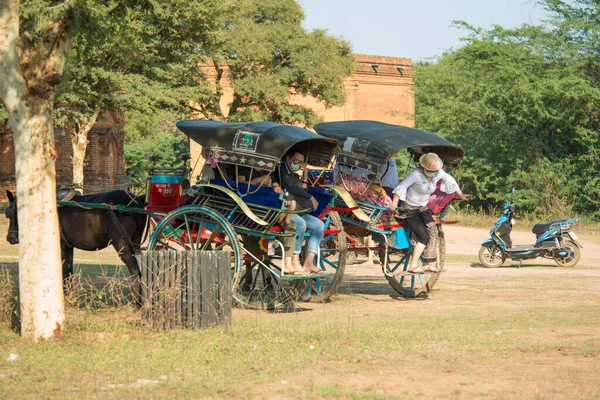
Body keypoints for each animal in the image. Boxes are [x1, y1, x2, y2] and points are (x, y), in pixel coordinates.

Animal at [4, 189, 146, 304]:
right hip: (135, 244)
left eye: (9, 213)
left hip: (122, 245)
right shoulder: (68, 246)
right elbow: (69, 271)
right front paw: (70, 298)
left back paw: (136, 302)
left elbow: (64, 271)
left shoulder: (61, 245)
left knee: (135, 270)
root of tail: (135, 201)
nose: (10, 238)